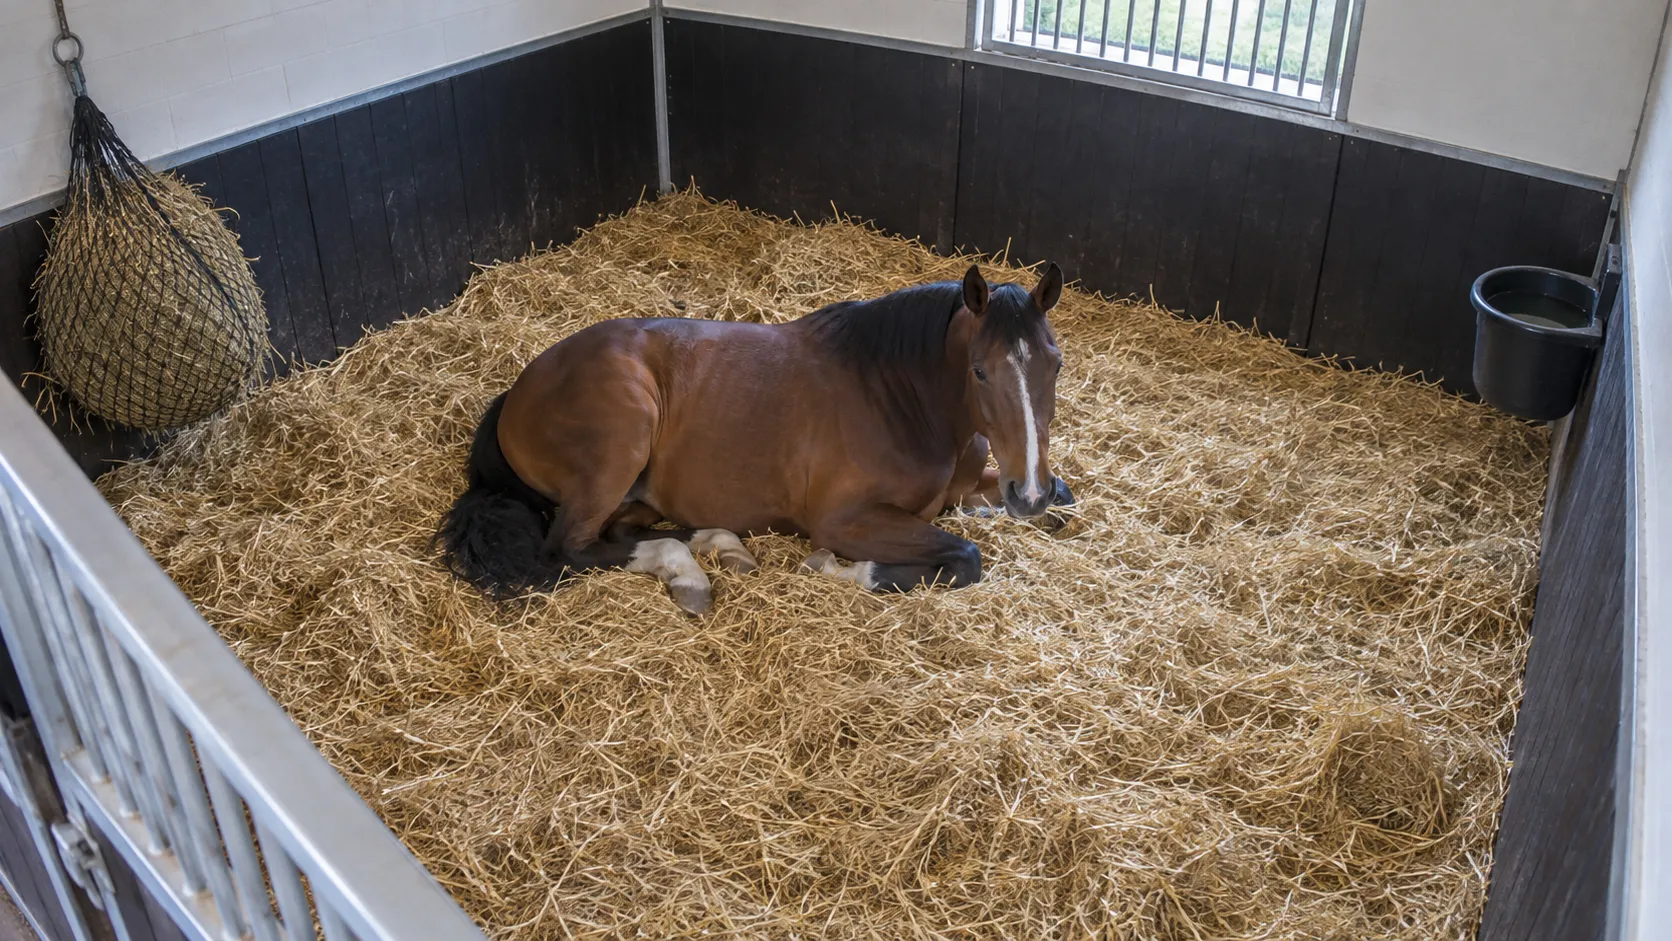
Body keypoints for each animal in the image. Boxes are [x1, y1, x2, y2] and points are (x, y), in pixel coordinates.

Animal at [437, 263, 1073, 614]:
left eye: (1056, 362)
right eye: (980, 371)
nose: (1027, 494)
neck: (900, 398)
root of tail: (516, 394)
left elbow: (1063, 500)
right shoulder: (846, 520)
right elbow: (964, 557)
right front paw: (838, 570)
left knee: (623, 533)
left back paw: (719, 549)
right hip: (621, 443)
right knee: (569, 548)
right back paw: (690, 575)